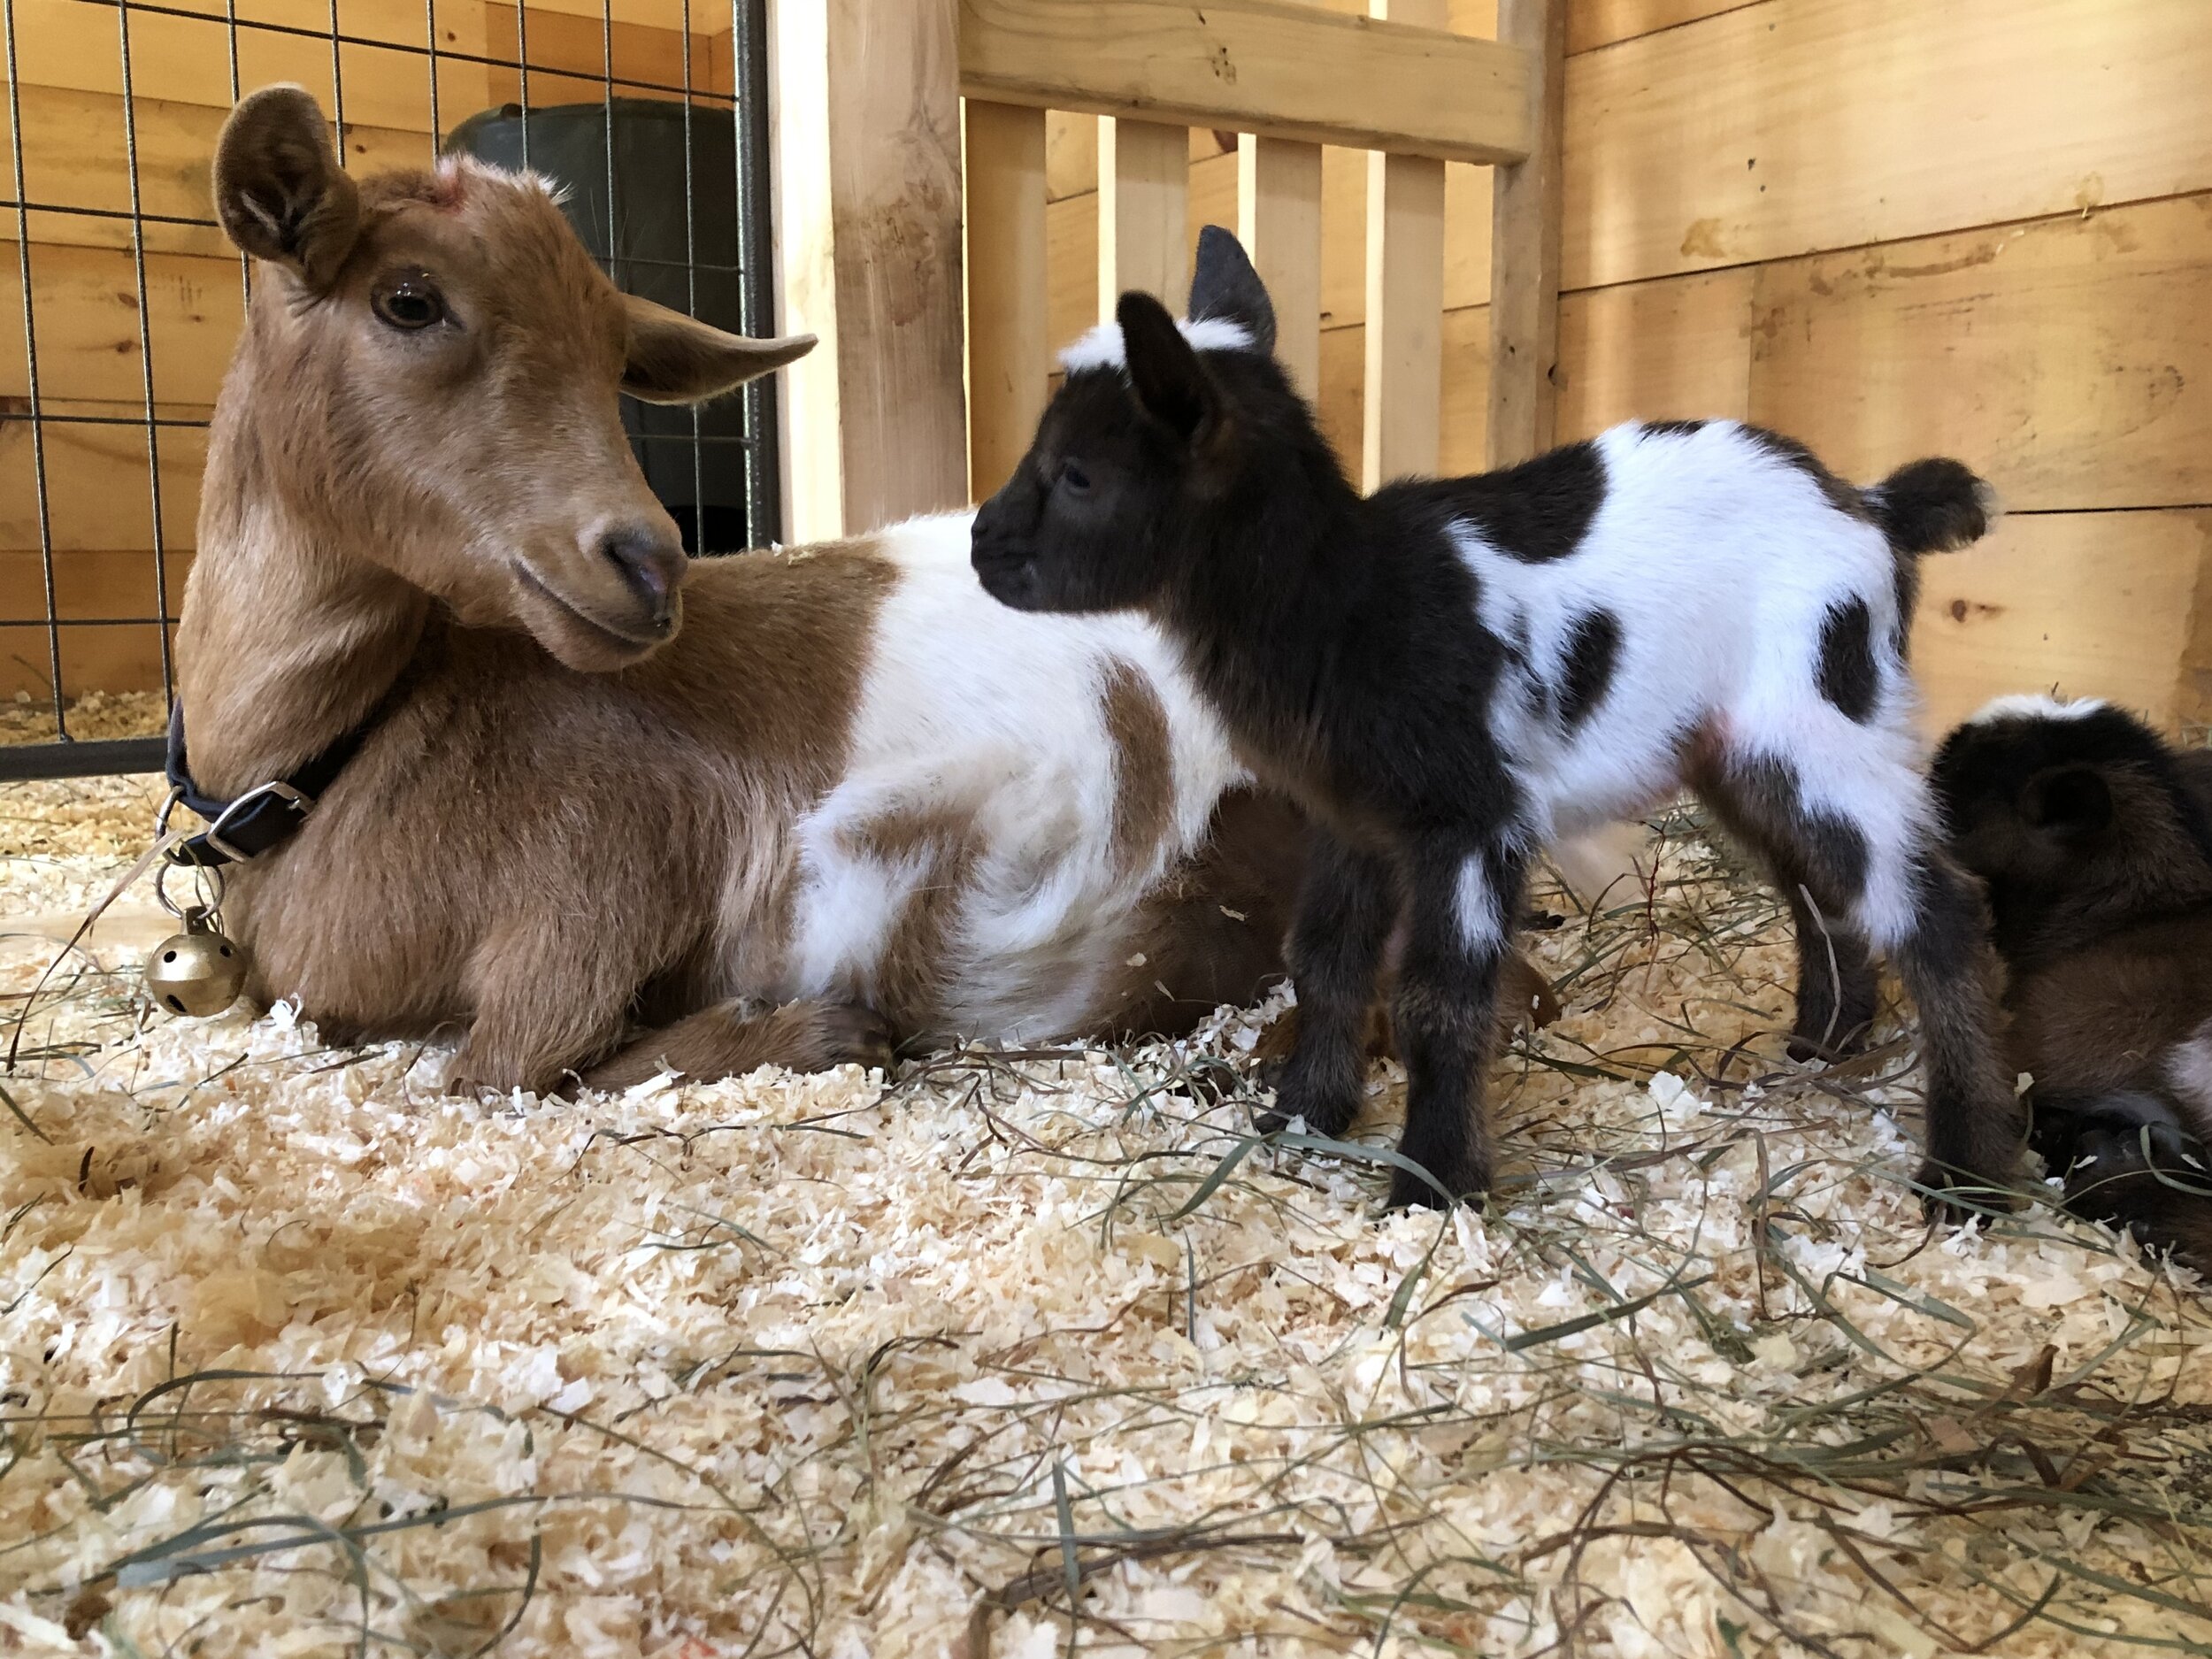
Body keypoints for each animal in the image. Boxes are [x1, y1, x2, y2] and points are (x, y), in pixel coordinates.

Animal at [978, 224, 2026, 1212]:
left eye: (1078, 474)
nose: (984, 545)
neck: (1346, 599)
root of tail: (1871, 506)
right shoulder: (1353, 815)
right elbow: (1325, 961)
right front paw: (1303, 1117)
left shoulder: (1474, 815)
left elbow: (1439, 997)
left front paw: (1433, 1184)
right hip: (1741, 747)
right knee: (1819, 885)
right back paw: (1822, 1045)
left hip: (1826, 710)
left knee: (1934, 907)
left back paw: (1965, 1175)